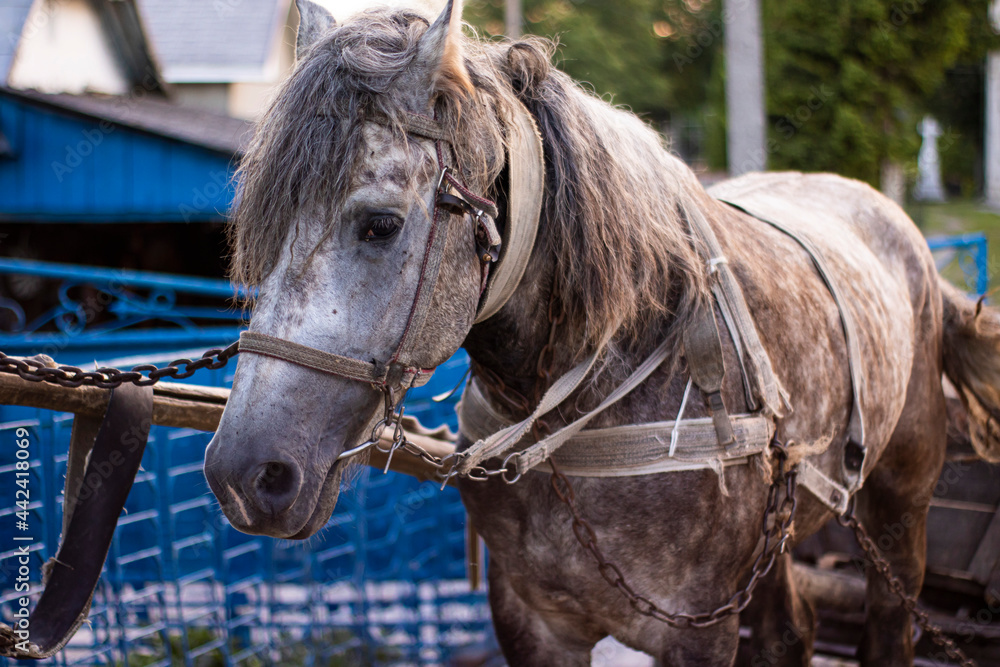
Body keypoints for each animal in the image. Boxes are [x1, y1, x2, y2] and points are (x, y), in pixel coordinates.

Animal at [203, 1, 1000, 664]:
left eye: (379, 224)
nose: (242, 474)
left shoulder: (696, 632)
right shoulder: (534, 622)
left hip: (899, 507)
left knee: (889, 623)